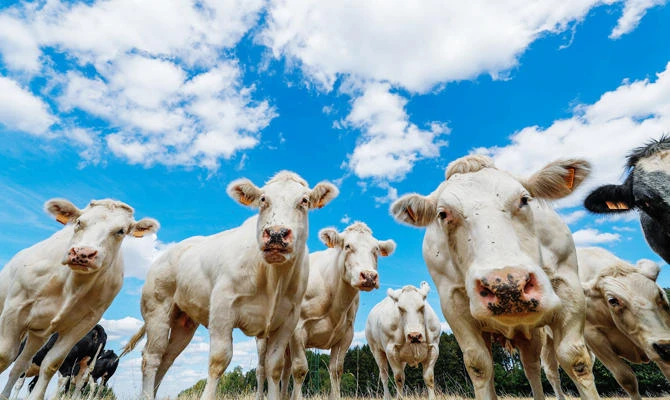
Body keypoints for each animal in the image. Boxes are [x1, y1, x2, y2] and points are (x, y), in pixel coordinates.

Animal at [0, 199, 159, 400]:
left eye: (121, 231)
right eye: (79, 222)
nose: (83, 253)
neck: (73, 284)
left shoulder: (81, 325)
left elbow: (50, 365)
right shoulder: (14, 309)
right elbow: (4, 355)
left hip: (40, 335)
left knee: (23, 364)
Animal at [122, 171, 338, 400]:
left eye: (304, 201)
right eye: (263, 199)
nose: (276, 234)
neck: (273, 278)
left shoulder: (288, 319)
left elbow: (274, 367)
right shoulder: (222, 308)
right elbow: (219, 360)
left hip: (184, 322)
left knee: (167, 359)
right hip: (157, 309)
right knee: (152, 357)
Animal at [255, 222, 396, 400]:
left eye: (376, 249)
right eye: (347, 246)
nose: (369, 276)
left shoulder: (346, 334)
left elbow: (336, 370)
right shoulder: (298, 329)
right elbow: (300, 369)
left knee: (284, 370)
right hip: (263, 338)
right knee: (261, 369)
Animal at [390, 155, 601, 399]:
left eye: (524, 200)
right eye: (443, 214)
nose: (508, 286)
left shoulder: (570, 288)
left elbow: (576, 360)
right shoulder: (453, 305)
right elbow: (479, 366)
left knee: (532, 367)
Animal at [543, 247, 670, 400]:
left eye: (660, 294)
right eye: (613, 300)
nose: (665, 346)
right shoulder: (595, 339)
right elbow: (626, 378)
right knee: (553, 372)